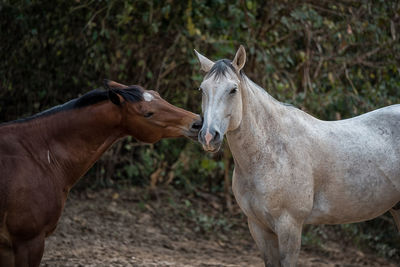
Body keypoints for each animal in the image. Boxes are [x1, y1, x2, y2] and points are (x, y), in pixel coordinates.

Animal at [195, 46, 400, 267]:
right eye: (202, 89)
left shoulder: (289, 226)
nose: (208, 136)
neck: (271, 152)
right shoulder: (258, 227)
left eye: (233, 89)